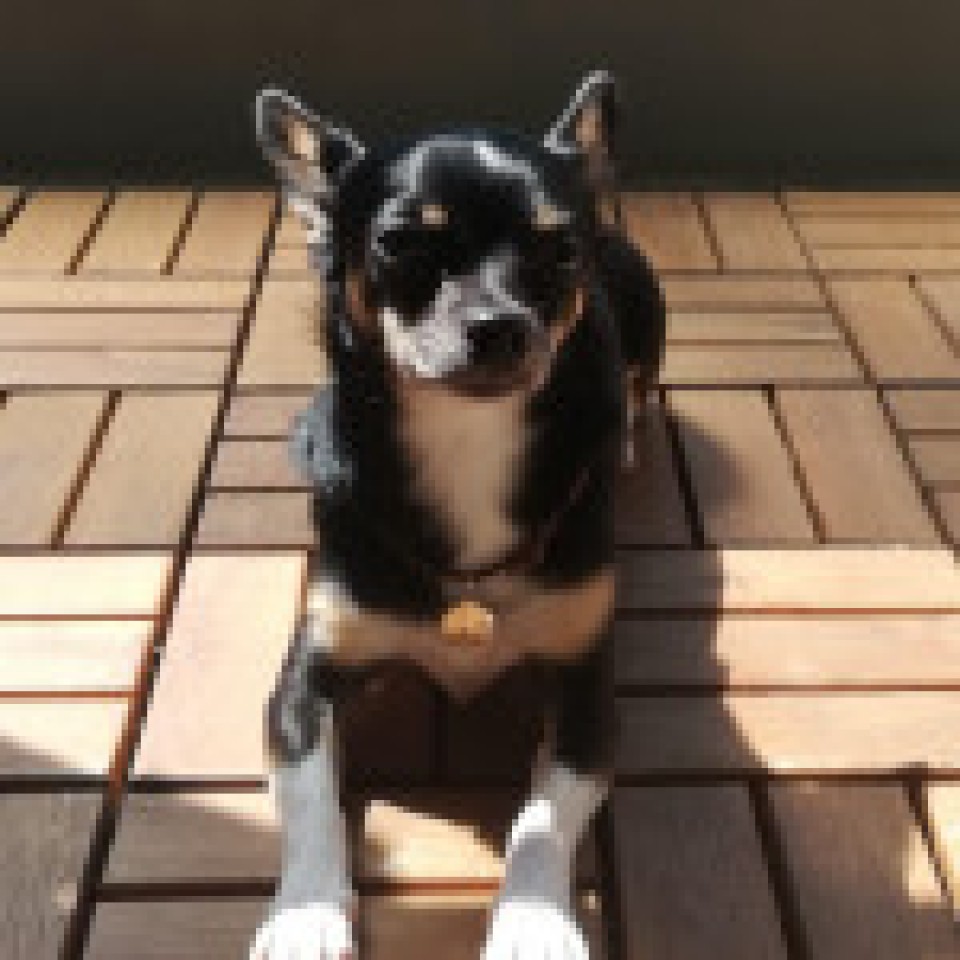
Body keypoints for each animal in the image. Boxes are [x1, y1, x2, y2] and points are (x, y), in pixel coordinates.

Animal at [249, 71, 665, 960]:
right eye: (401, 243)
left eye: (560, 251)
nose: (499, 324)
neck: (469, 440)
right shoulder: (304, 683)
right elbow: (311, 802)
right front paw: (305, 913)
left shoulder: (586, 693)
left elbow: (540, 820)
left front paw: (535, 923)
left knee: (636, 387)